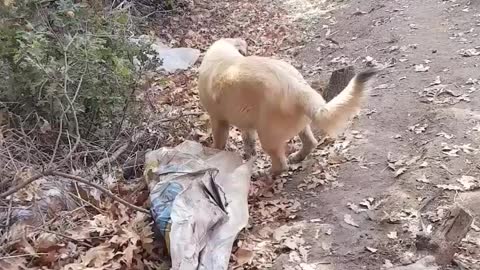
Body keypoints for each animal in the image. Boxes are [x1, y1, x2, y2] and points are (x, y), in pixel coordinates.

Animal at [197, 38, 376, 177]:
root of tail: (296, 87)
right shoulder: (245, 123)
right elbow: (249, 143)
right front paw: (248, 157)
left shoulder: (218, 120)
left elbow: (219, 143)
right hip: (299, 125)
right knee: (310, 143)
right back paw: (296, 157)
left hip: (268, 137)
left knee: (281, 165)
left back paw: (265, 174)